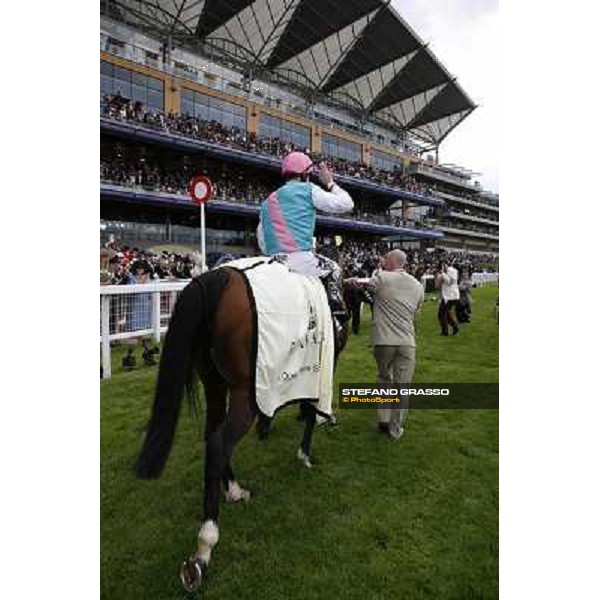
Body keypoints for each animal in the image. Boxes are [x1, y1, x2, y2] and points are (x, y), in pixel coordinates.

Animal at [134, 266, 350, 592]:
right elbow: (312, 411)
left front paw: (272, 426)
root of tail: (216, 277)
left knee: (212, 436)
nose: (343, 311)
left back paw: (234, 490)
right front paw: (304, 452)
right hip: (242, 392)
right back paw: (204, 547)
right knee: (219, 444)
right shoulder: (321, 368)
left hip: (214, 383)